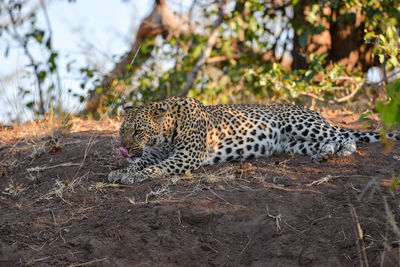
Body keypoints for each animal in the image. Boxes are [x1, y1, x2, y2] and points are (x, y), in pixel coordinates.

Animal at [108, 97, 398, 185]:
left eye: (138, 131)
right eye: (123, 130)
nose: (123, 148)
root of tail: (315, 112)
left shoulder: (186, 157)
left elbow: (159, 167)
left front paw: (134, 176)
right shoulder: (151, 153)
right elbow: (140, 162)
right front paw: (121, 171)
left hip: (303, 124)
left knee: (344, 135)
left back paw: (345, 150)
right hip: (295, 143)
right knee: (324, 143)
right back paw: (324, 155)